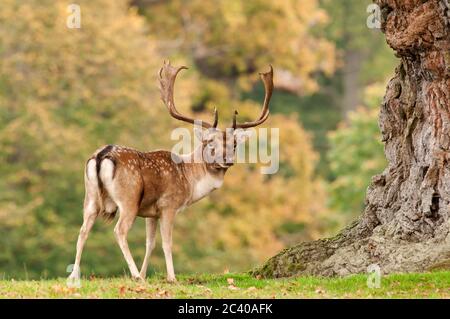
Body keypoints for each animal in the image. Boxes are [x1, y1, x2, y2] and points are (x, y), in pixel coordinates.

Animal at [68, 60, 272, 282]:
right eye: (209, 141)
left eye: (234, 144)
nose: (227, 160)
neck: (189, 180)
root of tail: (101, 155)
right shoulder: (168, 205)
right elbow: (167, 243)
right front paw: (170, 277)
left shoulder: (151, 213)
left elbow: (150, 244)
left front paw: (146, 274)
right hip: (128, 198)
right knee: (119, 231)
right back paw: (134, 275)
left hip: (90, 196)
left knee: (82, 230)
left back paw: (75, 276)